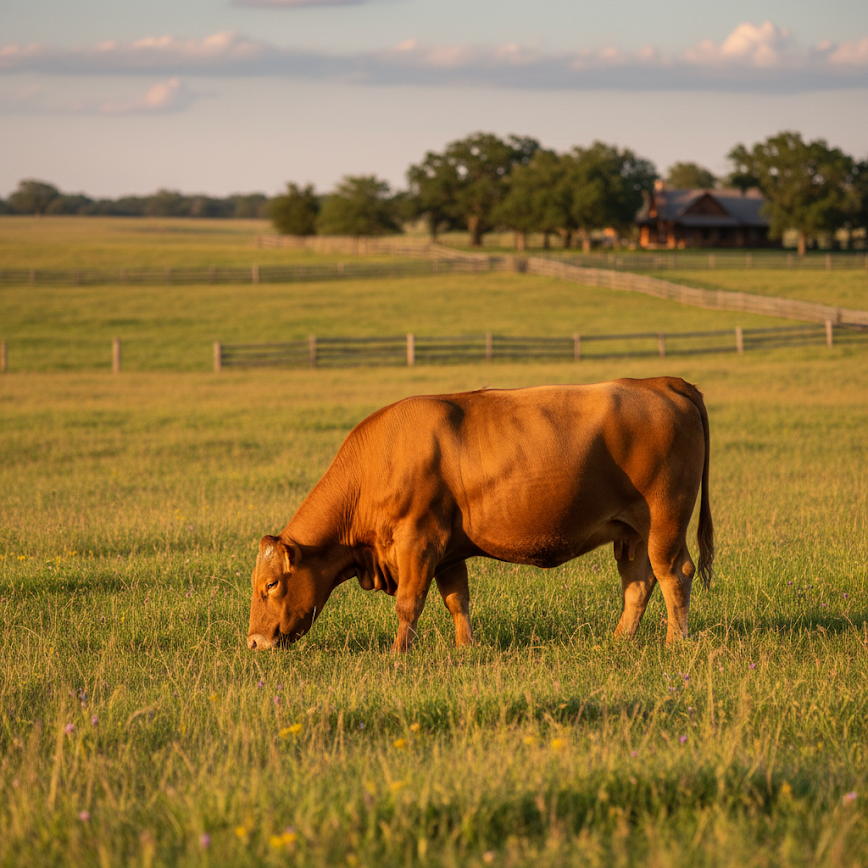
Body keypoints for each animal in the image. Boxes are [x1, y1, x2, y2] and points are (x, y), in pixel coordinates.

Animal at [247, 377, 713, 652]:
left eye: (271, 584)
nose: (253, 641)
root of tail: (658, 383)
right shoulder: (448, 551)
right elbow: (457, 599)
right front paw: (465, 649)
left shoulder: (419, 541)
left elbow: (408, 603)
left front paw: (398, 655)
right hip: (632, 532)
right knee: (638, 582)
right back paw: (619, 641)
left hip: (666, 518)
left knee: (674, 573)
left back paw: (675, 643)